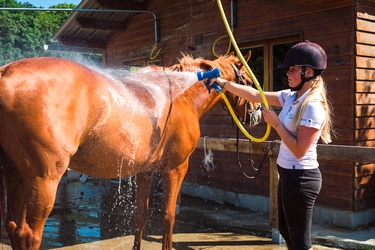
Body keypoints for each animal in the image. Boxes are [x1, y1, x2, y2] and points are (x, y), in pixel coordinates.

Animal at [0, 51, 260, 249]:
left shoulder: (145, 172)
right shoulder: (175, 169)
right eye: (248, 81)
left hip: (15, 175)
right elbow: (168, 217)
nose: (256, 114)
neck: (181, 94)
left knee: (14, 228)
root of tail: (5, 74)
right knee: (29, 234)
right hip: (43, 180)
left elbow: (140, 216)